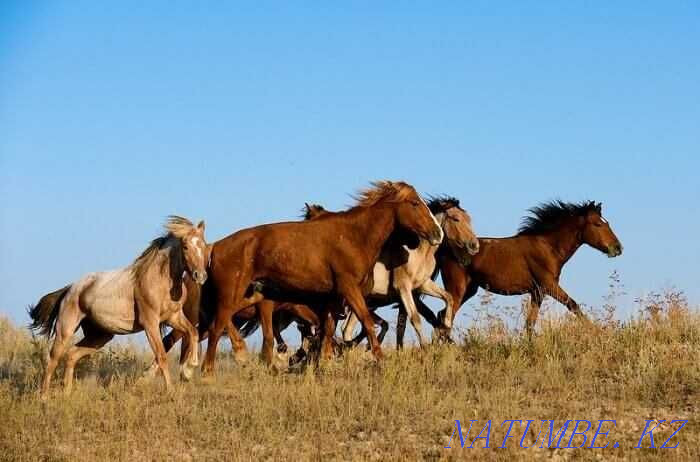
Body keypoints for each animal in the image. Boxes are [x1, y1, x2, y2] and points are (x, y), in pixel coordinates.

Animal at [28, 216, 209, 397]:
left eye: (204, 245)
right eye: (185, 247)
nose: (200, 276)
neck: (160, 280)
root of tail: (70, 288)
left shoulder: (174, 317)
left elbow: (192, 332)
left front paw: (188, 370)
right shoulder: (150, 323)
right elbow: (162, 356)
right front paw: (171, 390)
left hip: (100, 336)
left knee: (72, 354)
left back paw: (67, 393)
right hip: (66, 329)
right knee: (53, 358)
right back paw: (44, 396)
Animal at [199, 181, 443, 375]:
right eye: (414, 203)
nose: (438, 233)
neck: (355, 236)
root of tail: (214, 248)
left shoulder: (333, 299)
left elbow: (329, 329)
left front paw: (325, 362)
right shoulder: (349, 288)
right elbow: (365, 321)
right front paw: (380, 359)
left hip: (254, 296)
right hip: (232, 294)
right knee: (217, 325)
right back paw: (208, 370)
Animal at [397, 200, 623, 340]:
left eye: (607, 222)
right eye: (597, 224)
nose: (618, 248)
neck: (548, 246)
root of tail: (444, 248)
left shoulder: (538, 292)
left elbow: (530, 323)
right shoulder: (549, 286)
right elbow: (573, 305)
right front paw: (598, 333)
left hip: (470, 290)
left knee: (442, 315)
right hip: (458, 289)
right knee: (445, 316)